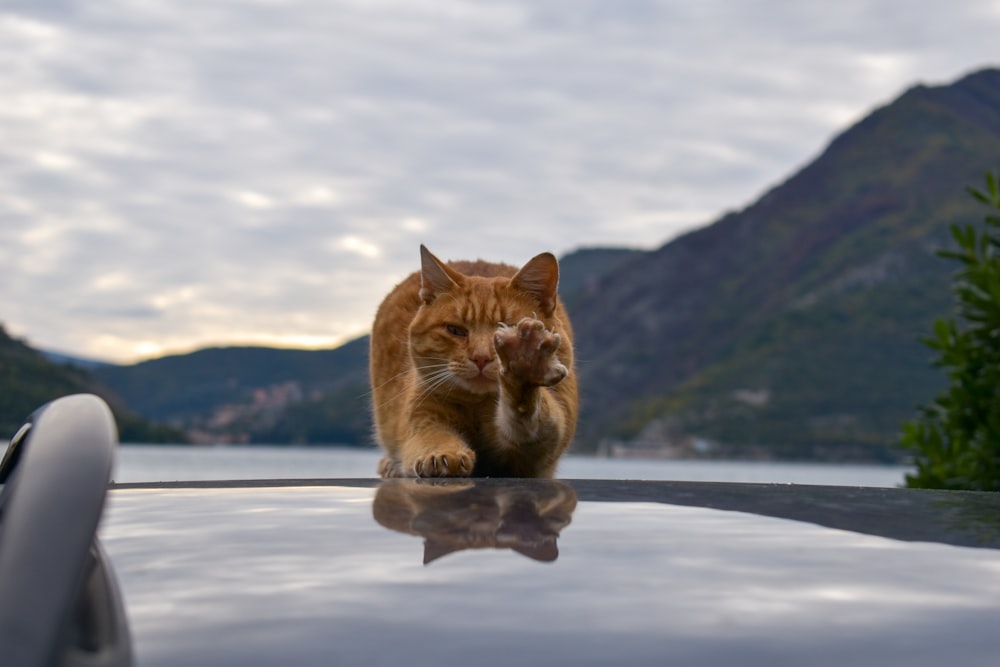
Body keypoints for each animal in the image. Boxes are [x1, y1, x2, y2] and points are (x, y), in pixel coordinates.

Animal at [372, 245, 580, 480]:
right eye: (455, 330)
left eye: (507, 327)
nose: (481, 357)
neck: (477, 406)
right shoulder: (423, 418)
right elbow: (432, 437)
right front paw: (442, 454)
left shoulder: (535, 454)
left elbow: (528, 414)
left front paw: (525, 363)